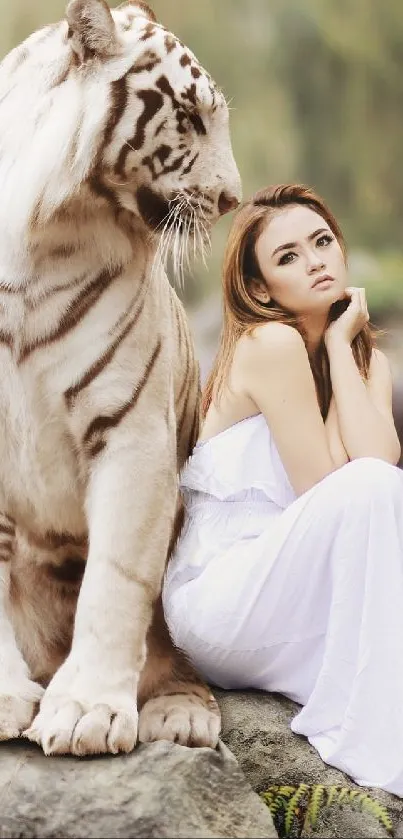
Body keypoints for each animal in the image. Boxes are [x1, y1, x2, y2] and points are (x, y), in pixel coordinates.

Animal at [0, 0, 241, 756]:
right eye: (189, 117)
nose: (233, 198)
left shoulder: (132, 431)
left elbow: (114, 582)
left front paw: (85, 713)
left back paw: (180, 715)